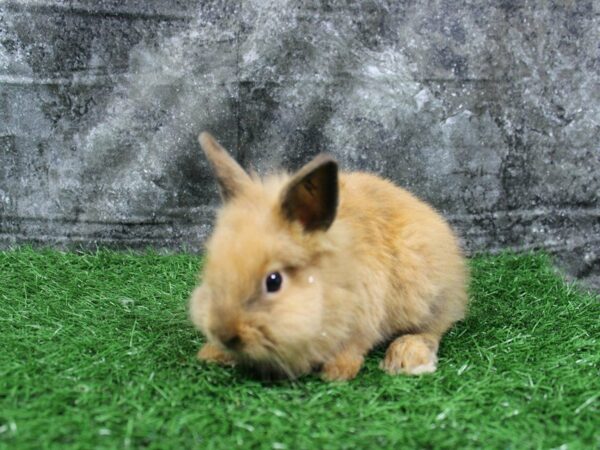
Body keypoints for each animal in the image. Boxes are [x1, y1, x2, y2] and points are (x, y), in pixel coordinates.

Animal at [188, 132, 468, 382]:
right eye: (211, 267)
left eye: (274, 281)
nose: (224, 333)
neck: (331, 284)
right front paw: (211, 355)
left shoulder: (364, 318)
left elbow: (353, 347)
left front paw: (336, 373)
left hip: (428, 294)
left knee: (433, 329)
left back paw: (406, 357)